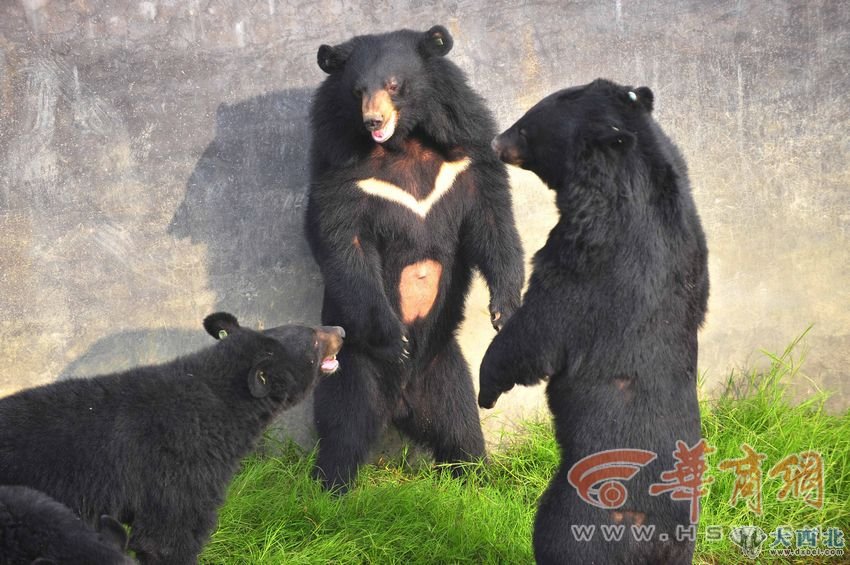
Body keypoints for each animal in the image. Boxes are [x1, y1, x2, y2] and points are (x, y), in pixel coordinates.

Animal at [305, 25, 525, 491]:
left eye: (393, 84)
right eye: (356, 91)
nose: (373, 121)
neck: (404, 143)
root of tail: (401, 401)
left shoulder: (466, 158)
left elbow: (493, 222)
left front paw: (504, 311)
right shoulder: (342, 172)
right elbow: (344, 245)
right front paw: (398, 339)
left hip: (446, 371)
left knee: (462, 430)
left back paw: (477, 482)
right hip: (355, 367)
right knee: (344, 430)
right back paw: (328, 490)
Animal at [480, 79, 709, 564]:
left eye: (525, 127)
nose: (494, 142)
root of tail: (655, 539)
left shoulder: (591, 254)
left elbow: (539, 332)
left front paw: (486, 385)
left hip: (578, 516)